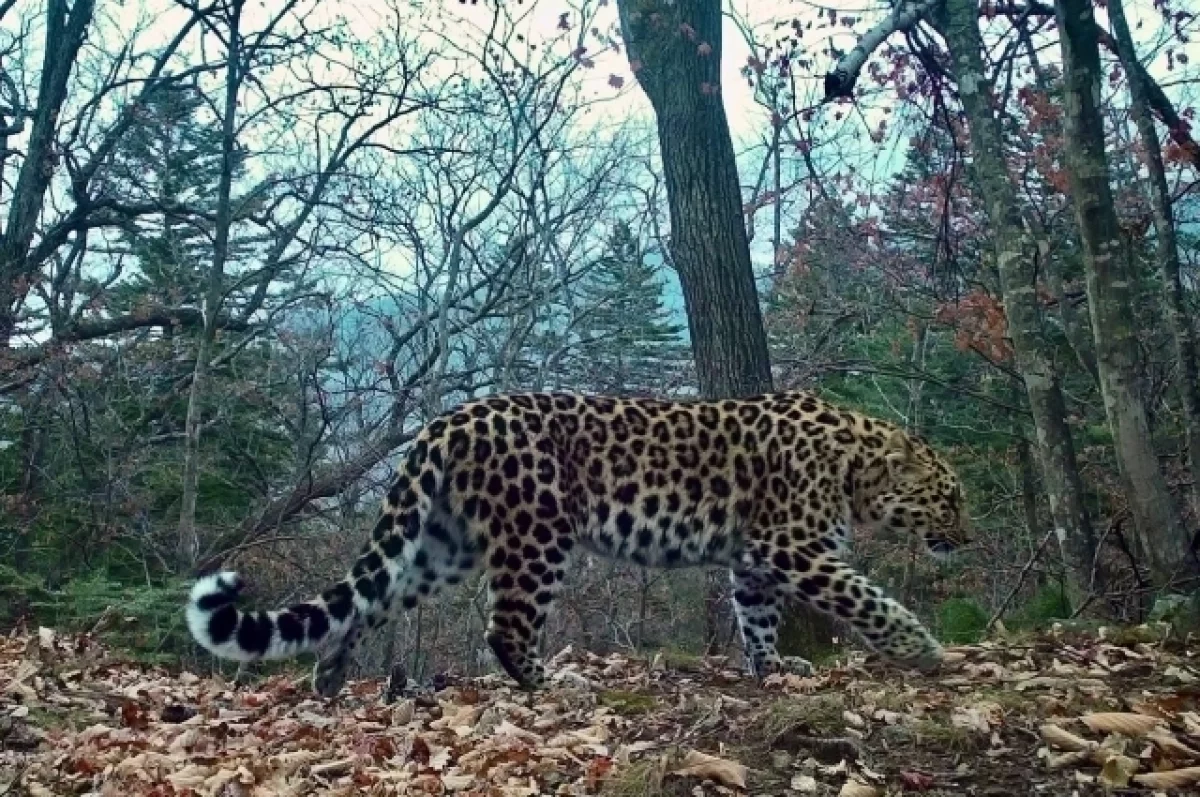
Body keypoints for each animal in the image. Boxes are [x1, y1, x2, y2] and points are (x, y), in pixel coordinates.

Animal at [189, 388, 974, 696]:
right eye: (950, 496)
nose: (965, 539)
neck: (856, 466)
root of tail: (449, 418)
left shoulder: (754, 559)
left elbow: (756, 617)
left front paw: (774, 666)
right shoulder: (794, 547)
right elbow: (866, 596)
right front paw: (923, 648)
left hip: (444, 545)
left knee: (369, 600)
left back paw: (329, 678)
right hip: (538, 534)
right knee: (506, 626)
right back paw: (553, 685)